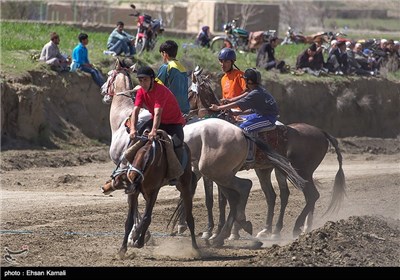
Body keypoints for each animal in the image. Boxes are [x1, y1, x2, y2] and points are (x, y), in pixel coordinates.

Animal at [186, 68, 346, 241]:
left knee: (310, 196)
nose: (186, 114)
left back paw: (293, 227)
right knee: (276, 196)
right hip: (271, 170)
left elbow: (222, 199)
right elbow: (219, 199)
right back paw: (276, 229)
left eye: (189, 92)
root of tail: (321, 132)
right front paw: (217, 231)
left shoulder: (221, 172)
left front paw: (222, 231)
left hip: (302, 171)